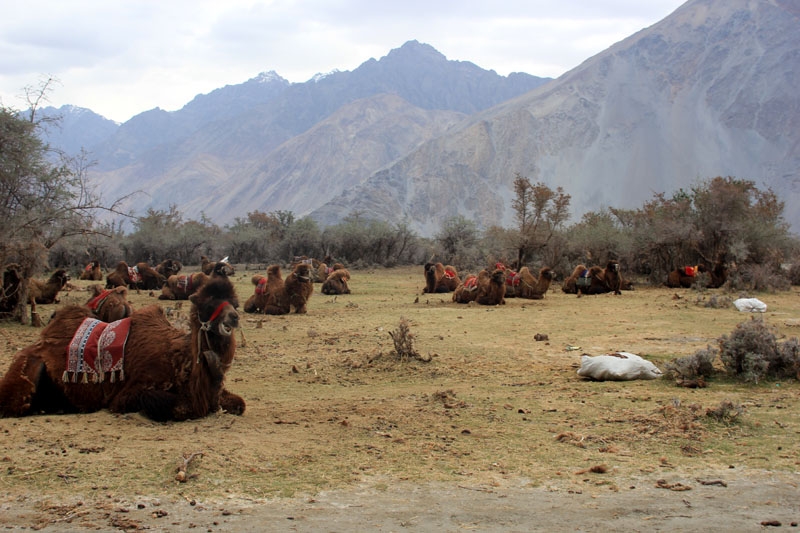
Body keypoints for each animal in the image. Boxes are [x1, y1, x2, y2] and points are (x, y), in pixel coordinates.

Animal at [0, 274, 244, 420]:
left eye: (235, 303)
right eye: (209, 302)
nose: (233, 317)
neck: (181, 360)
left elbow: (239, 403)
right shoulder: (128, 394)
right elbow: (180, 406)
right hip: (26, 376)